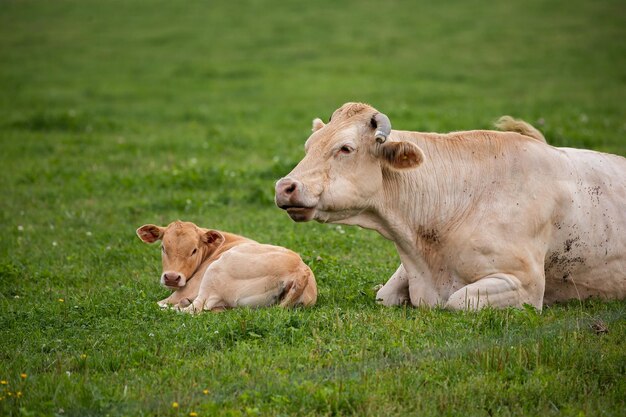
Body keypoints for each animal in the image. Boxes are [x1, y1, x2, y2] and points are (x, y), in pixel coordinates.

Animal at [134, 221, 314, 312]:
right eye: (163, 247)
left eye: (194, 250)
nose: (171, 277)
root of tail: (301, 270)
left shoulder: (187, 289)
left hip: (213, 274)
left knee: (192, 309)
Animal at [274, 101, 624, 308]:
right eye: (309, 146)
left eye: (345, 148)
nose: (284, 187)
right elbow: (384, 295)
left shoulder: (526, 285)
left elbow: (457, 301)